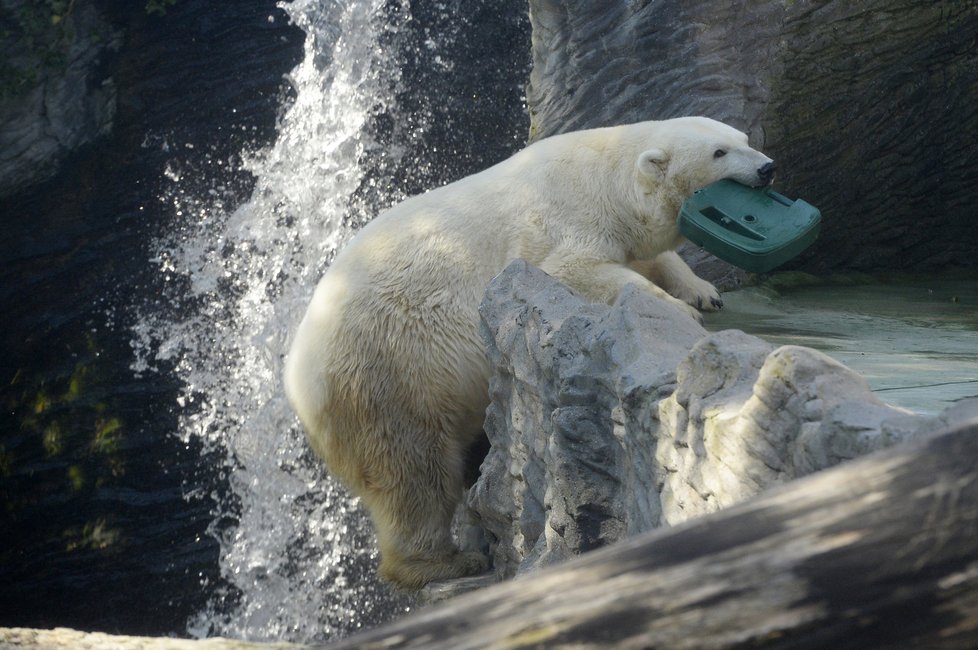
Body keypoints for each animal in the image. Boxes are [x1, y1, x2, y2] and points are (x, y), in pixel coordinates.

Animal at [284, 116, 776, 588]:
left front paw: (702, 292)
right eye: (719, 152)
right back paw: (445, 562)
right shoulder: (563, 224)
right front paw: (675, 309)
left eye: (744, 138)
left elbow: (650, 259)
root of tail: (296, 380)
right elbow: (577, 271)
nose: (767, 168)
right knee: (413, 472)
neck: (604, 176)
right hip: (387, 372)